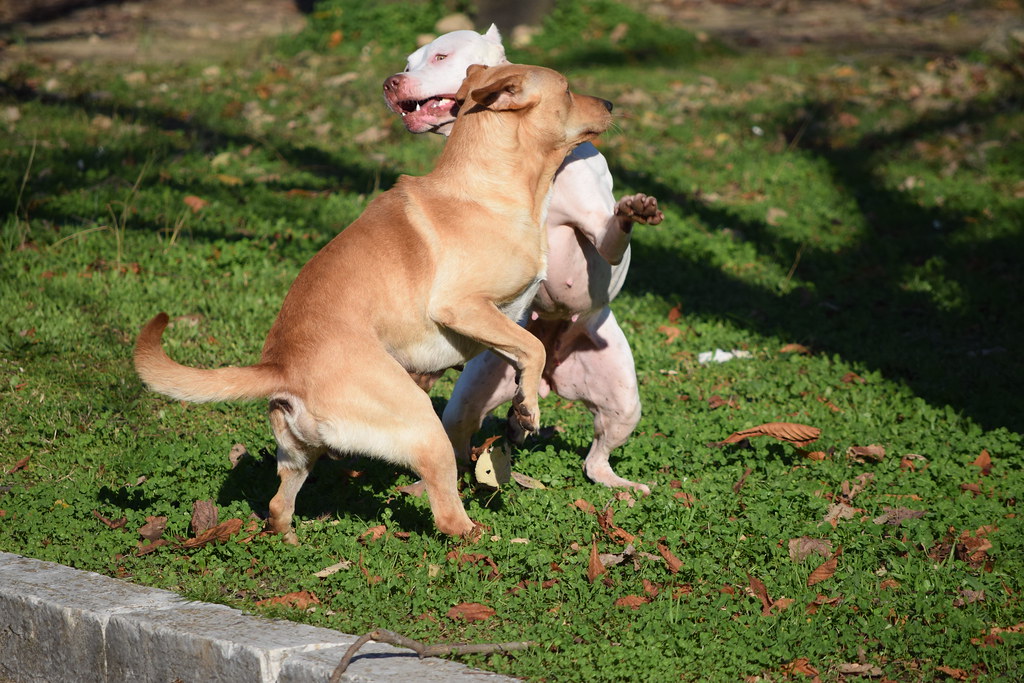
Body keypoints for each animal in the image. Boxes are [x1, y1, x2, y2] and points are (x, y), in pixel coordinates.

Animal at [135, 63, 613, 541]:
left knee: (277, 506)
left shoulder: (497, 323)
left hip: (299, 458)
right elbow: (532, 347)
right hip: (423, 427)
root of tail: (282, 368)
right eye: (568, 90)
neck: (486, 187)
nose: (610, 103)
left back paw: (290, 540)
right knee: (448, 515)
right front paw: (529, 409)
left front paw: (520, 407)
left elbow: (521, 351)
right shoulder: (462, 307)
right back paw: (486, 536)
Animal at [383, 25, 663, 494]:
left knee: (596, 459)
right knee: (461, 441)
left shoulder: (601, 239)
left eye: (441, 57)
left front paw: (634, 209)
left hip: (622, 402)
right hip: (474, 390)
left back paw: (619, 485)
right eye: (408, 63)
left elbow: (612, 234)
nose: (391, 82)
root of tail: (553, 377)